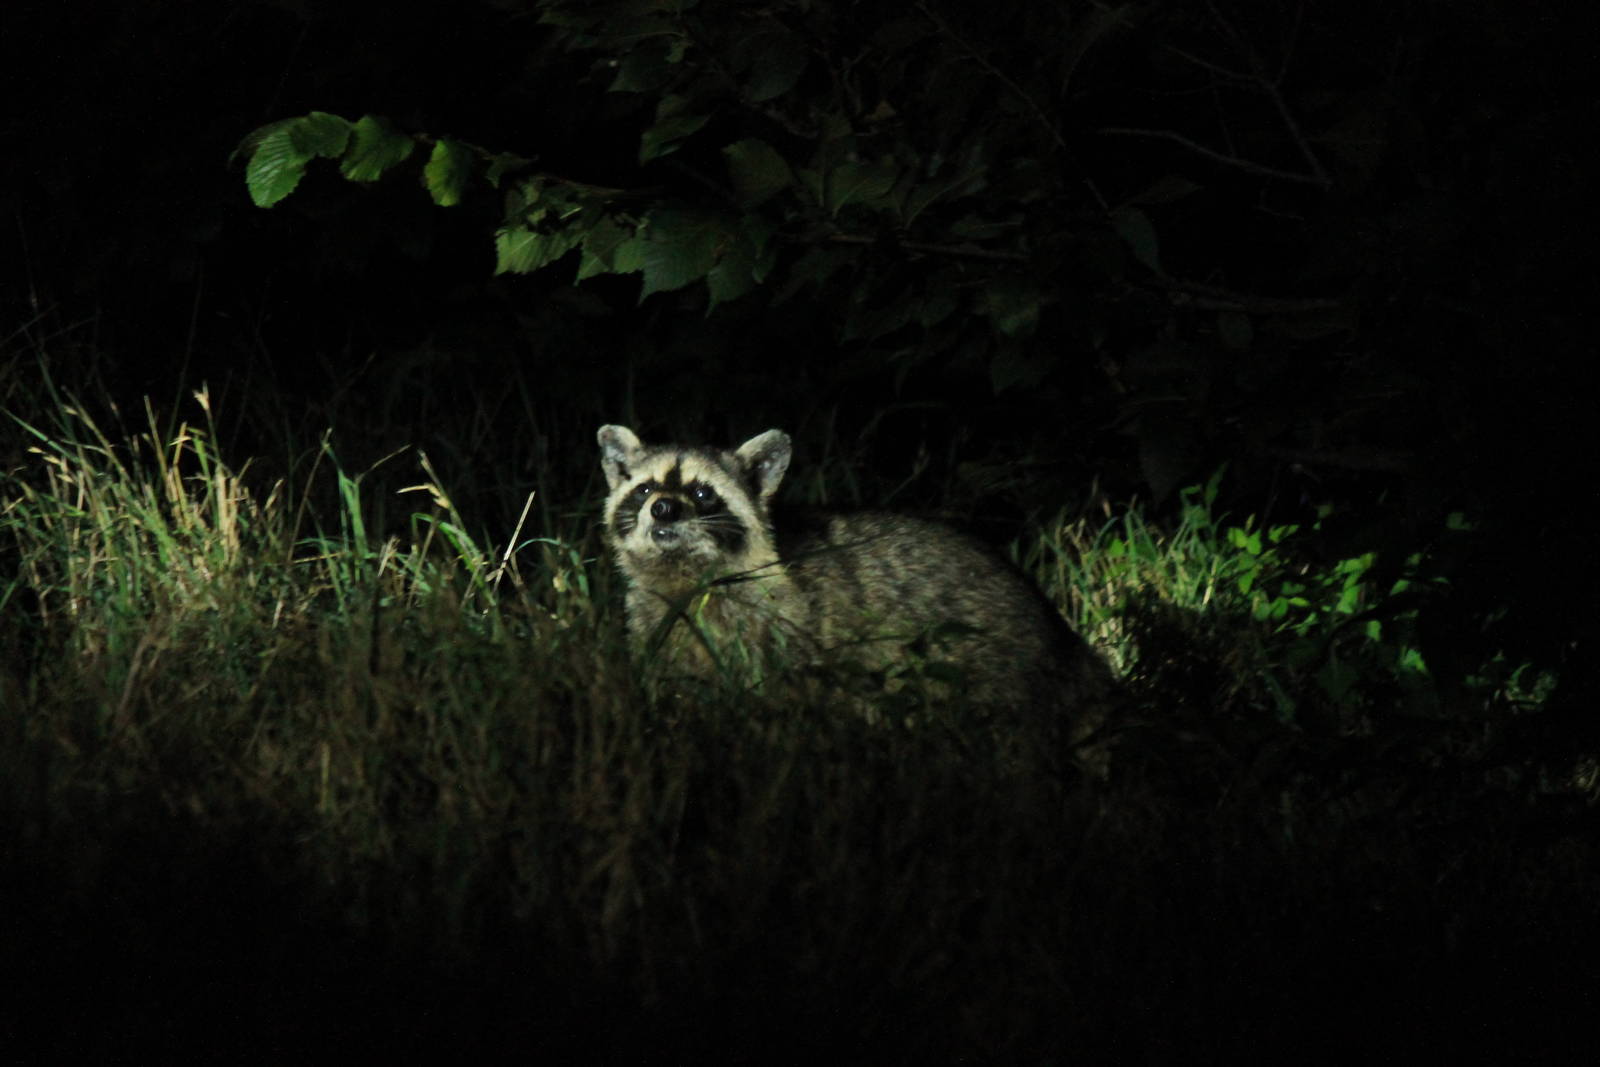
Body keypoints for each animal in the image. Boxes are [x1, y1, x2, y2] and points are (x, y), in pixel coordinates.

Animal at [598, 424, 1111, 732]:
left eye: (703, 494)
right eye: (645, 489)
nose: (663, 508)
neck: (686, 574)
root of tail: (1062, 641)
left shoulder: (781, 628)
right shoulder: (656, 623)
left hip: (989, 669)